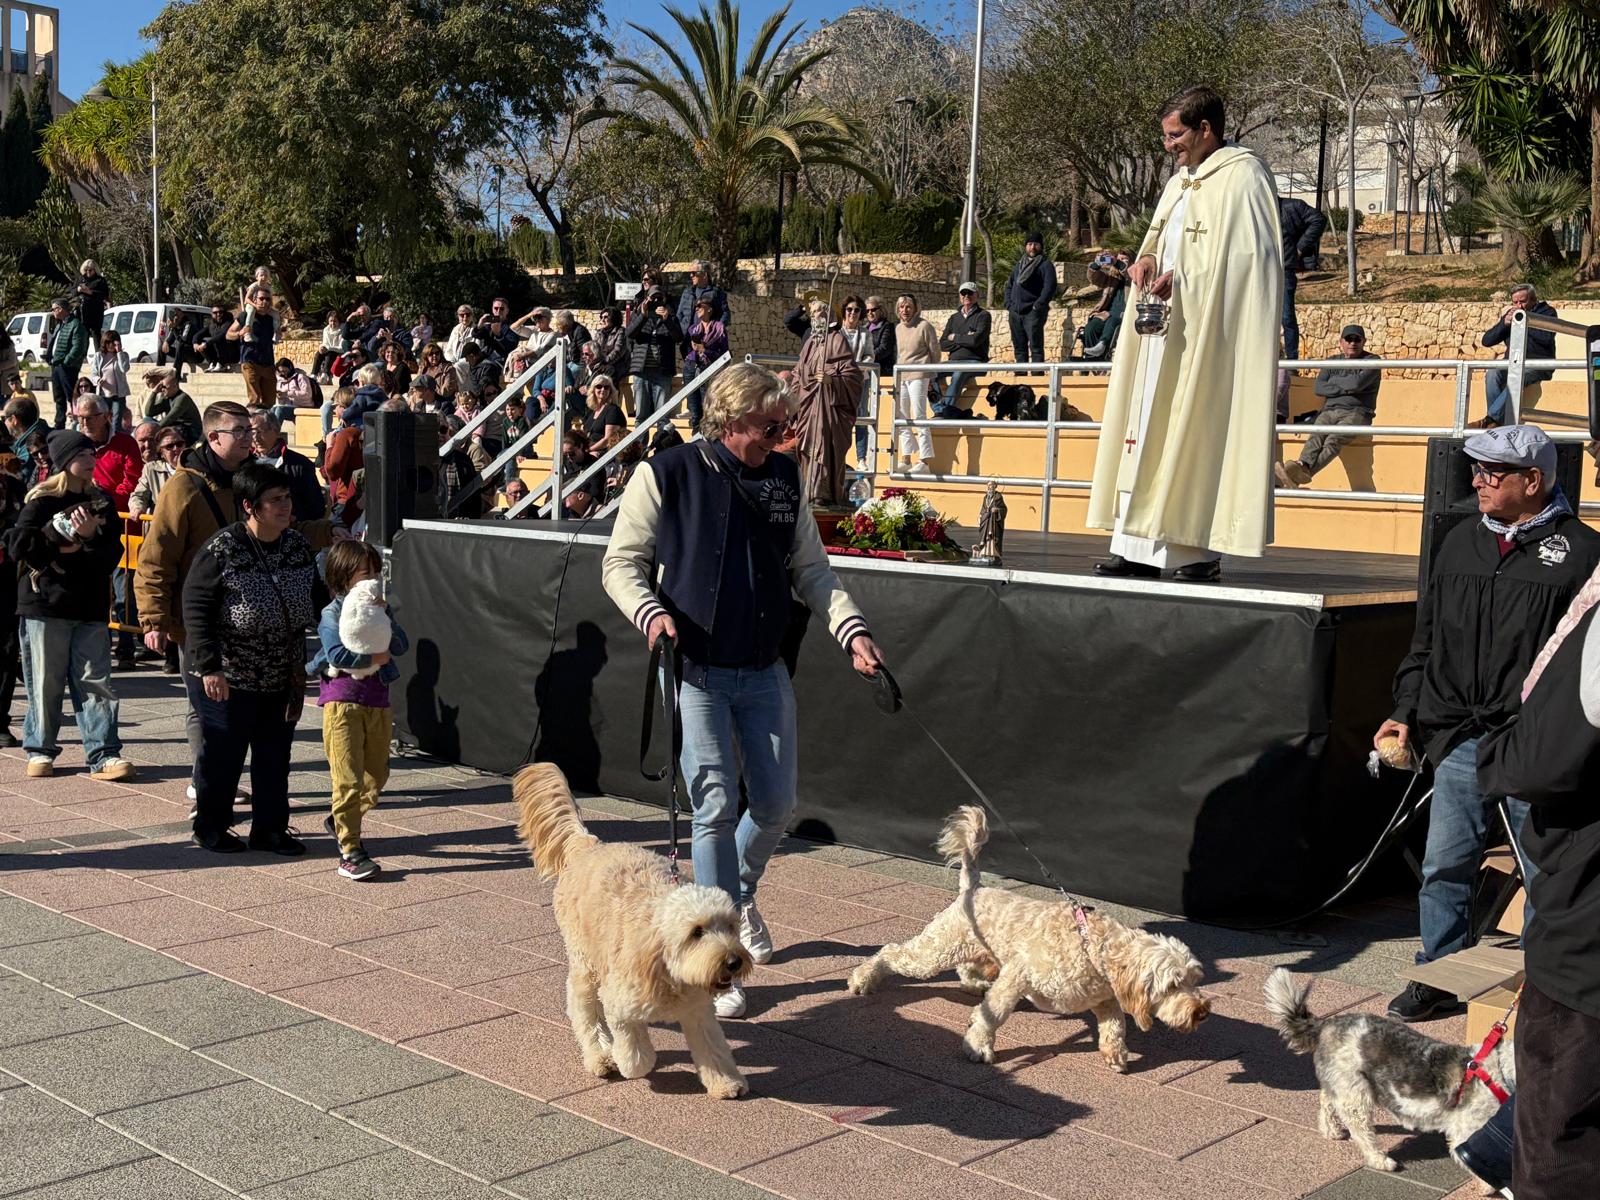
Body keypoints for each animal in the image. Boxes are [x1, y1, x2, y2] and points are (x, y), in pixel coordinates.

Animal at [1260, 966, 1510, 1177]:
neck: (1497, 1073)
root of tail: (1325, 1025)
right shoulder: (1468, 1130)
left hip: (1342, 1083)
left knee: (1327, 1101)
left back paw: (1331, 1131)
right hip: (1356, 1094)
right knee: (1361, 1130)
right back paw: (1380, 1160)